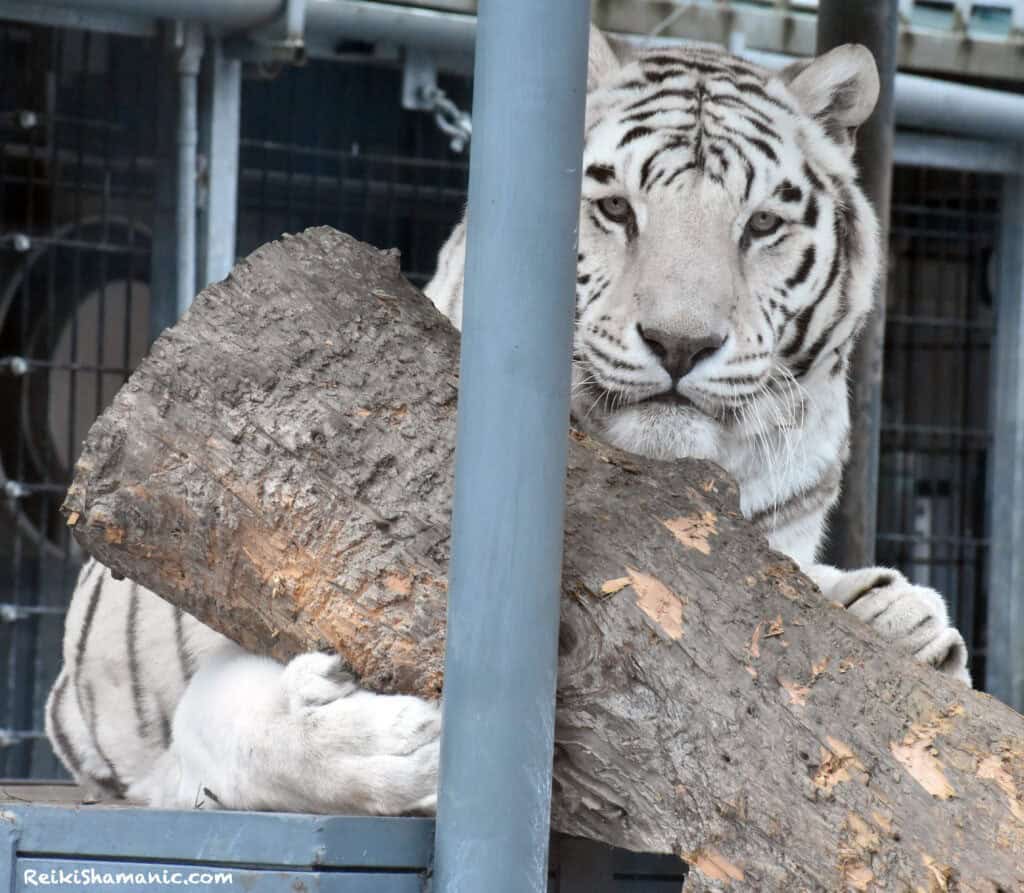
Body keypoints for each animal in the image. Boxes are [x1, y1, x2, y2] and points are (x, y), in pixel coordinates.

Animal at [44, 31, 966, 815]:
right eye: (615, 209)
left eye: (762, 224)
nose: (680, 343)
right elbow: (229, 720)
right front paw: (403, 748)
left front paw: (901, 615)